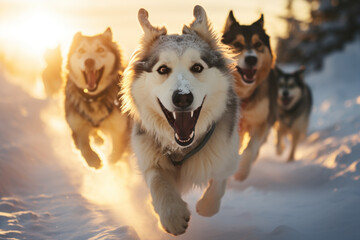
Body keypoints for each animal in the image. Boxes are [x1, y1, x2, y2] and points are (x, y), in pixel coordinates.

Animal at [65, 28, 130, 169]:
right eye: (81, 50)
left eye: (100, 49)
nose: (89, 61)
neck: (93, 98)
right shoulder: (76, 125)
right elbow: (83, 145)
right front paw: (92, 159)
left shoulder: (120, 126)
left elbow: (118, 147)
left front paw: (111, 159)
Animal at [120, 5, 239, 236]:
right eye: (163, 69)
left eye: (197, 68)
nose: (182, 97)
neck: (182, 147)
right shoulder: (148, 154)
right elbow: (157, 180)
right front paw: (172, 216)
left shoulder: (226, 153)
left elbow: (219, 179)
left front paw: (207, 205)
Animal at [221, 11, 278, 180]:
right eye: (237, 45)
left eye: (258, 44)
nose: (251, 59)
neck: (243, 94)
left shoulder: (261, 122)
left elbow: (250, 148)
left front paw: (241, 172)